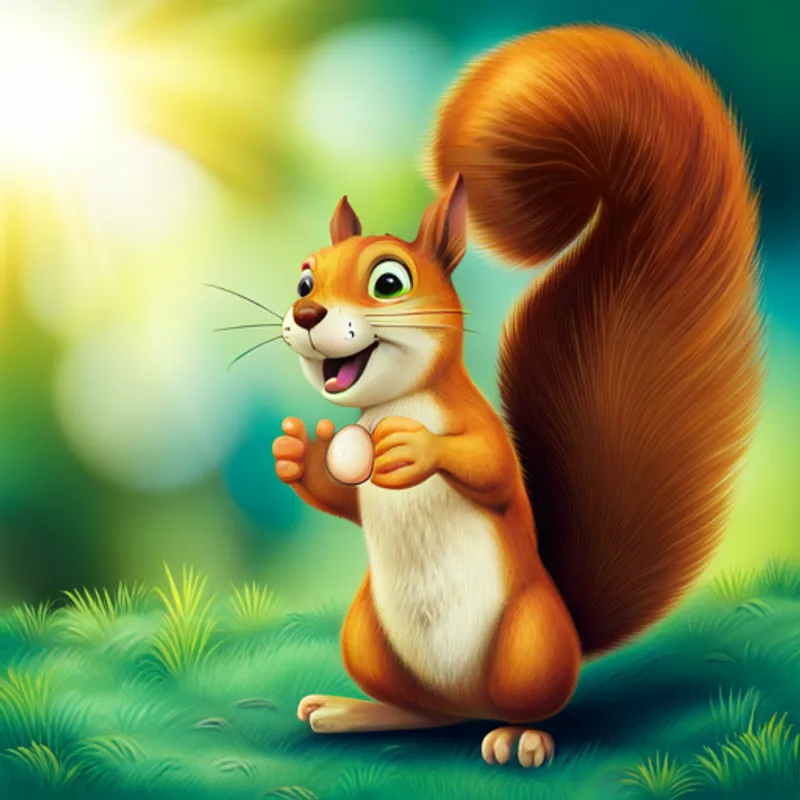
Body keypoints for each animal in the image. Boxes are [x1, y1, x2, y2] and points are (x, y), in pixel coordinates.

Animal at [272, 24, 763, 767]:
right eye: (304, 280)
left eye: (389, 281)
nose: (306, 315)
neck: (395, 402)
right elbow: (343, 500)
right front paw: (300, 455)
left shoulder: (481, 433)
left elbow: (490, 469)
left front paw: (414, 449)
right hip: (368, 637)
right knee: (424, 713)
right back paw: (352, 711)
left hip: (526, 642)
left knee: (523, 707)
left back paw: (519, 738)